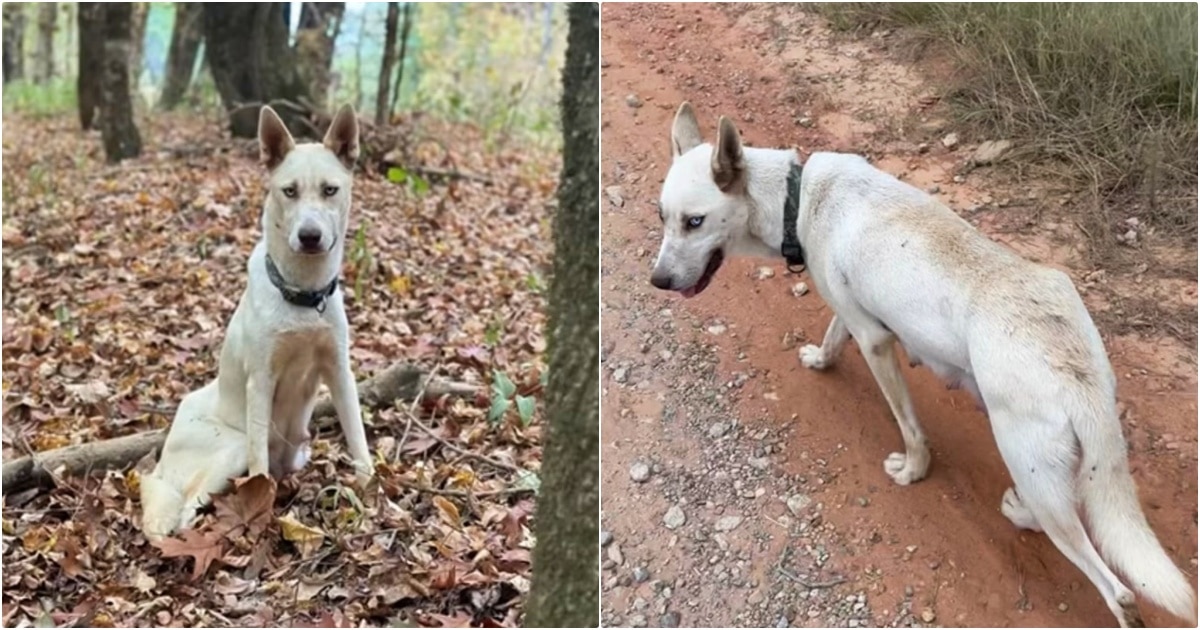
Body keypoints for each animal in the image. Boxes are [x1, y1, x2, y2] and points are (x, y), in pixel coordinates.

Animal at [138, 104, 369, 540]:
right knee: (185, 507)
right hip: (231, 446)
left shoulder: (339, 370)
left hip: (296, 451)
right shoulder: (260, 380)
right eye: (289, 191)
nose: (309, 236)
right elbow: (260, 468)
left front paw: (373, 490)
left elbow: (359, 438)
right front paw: (262, 509)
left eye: (330, 190)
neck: (302, 297)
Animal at [652, 102, 1195, 624]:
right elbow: (833, 337)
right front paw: (821, 360)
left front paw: (913, 470)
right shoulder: (853, 314)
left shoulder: (875, 341)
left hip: (1028, 462)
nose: (657, 281)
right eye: (662, 217)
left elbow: (911, 427)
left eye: (694, 221)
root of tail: (1077, 374)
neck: (795, 198)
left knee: (1112, 585)